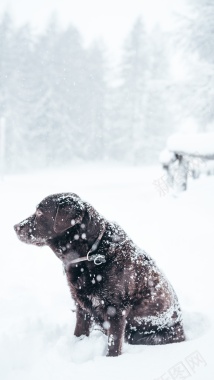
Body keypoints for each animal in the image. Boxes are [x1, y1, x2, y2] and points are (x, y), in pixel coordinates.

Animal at [13, 193, 186, 356]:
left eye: (39, 213)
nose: (15, 226)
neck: (91, 253)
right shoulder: (82, 307)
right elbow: (79, 333)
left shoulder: (115, 311)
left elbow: (113, 345)